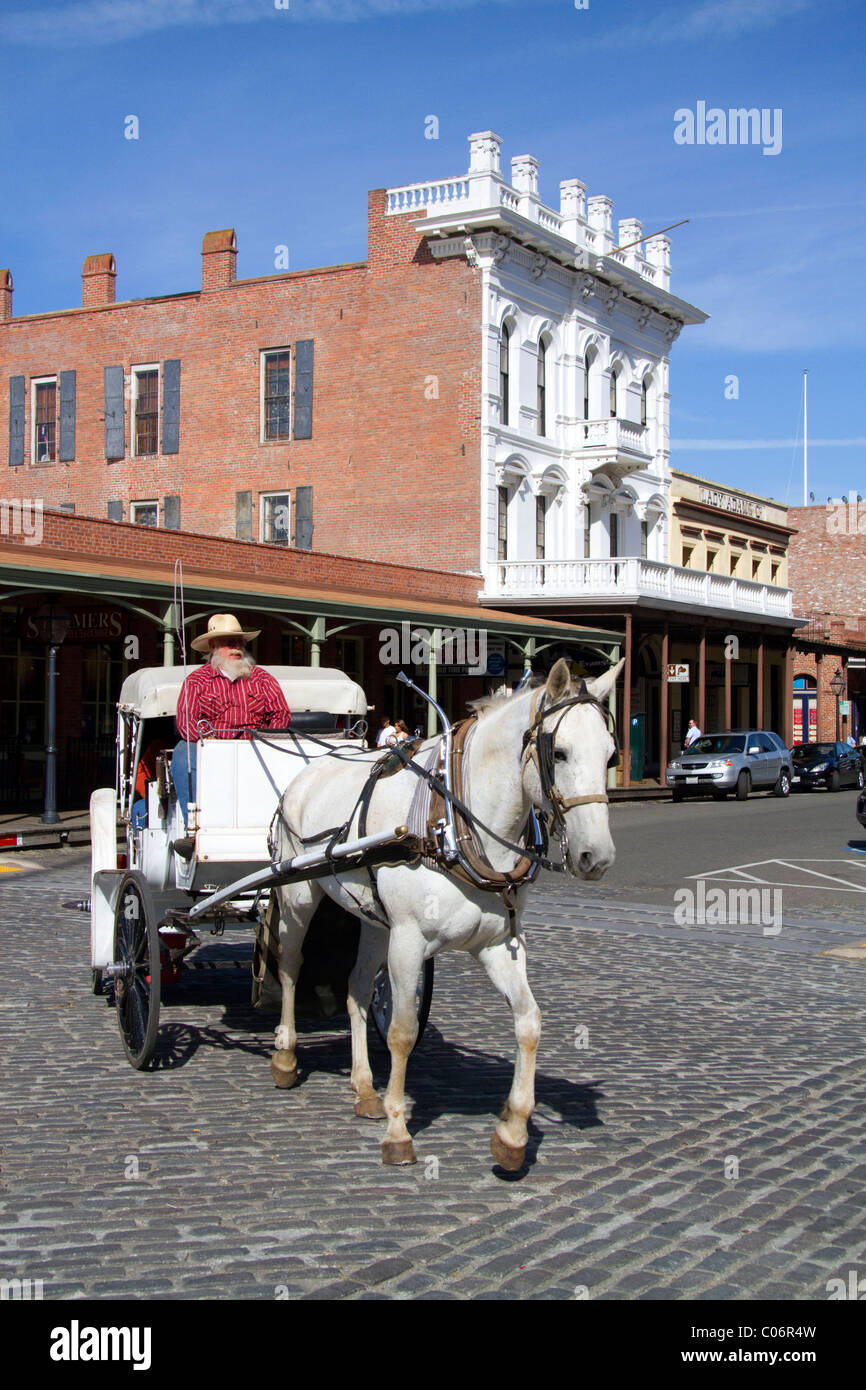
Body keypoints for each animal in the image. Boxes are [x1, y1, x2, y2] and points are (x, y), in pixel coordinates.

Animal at [270, 656, 622, 1169]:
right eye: (559, 753)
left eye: (610, 755)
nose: (597, 858)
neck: (451, 825)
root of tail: (306, 773)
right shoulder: (408, 939)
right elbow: (402, 1031)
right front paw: (398, 1131)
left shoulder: (499, 944)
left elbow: (530, 1022)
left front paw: (513, 1131)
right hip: (299, 897)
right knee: (291, 967)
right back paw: (285, 1056)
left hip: (373, 920)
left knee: (356, 989)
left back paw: (364, 1087)